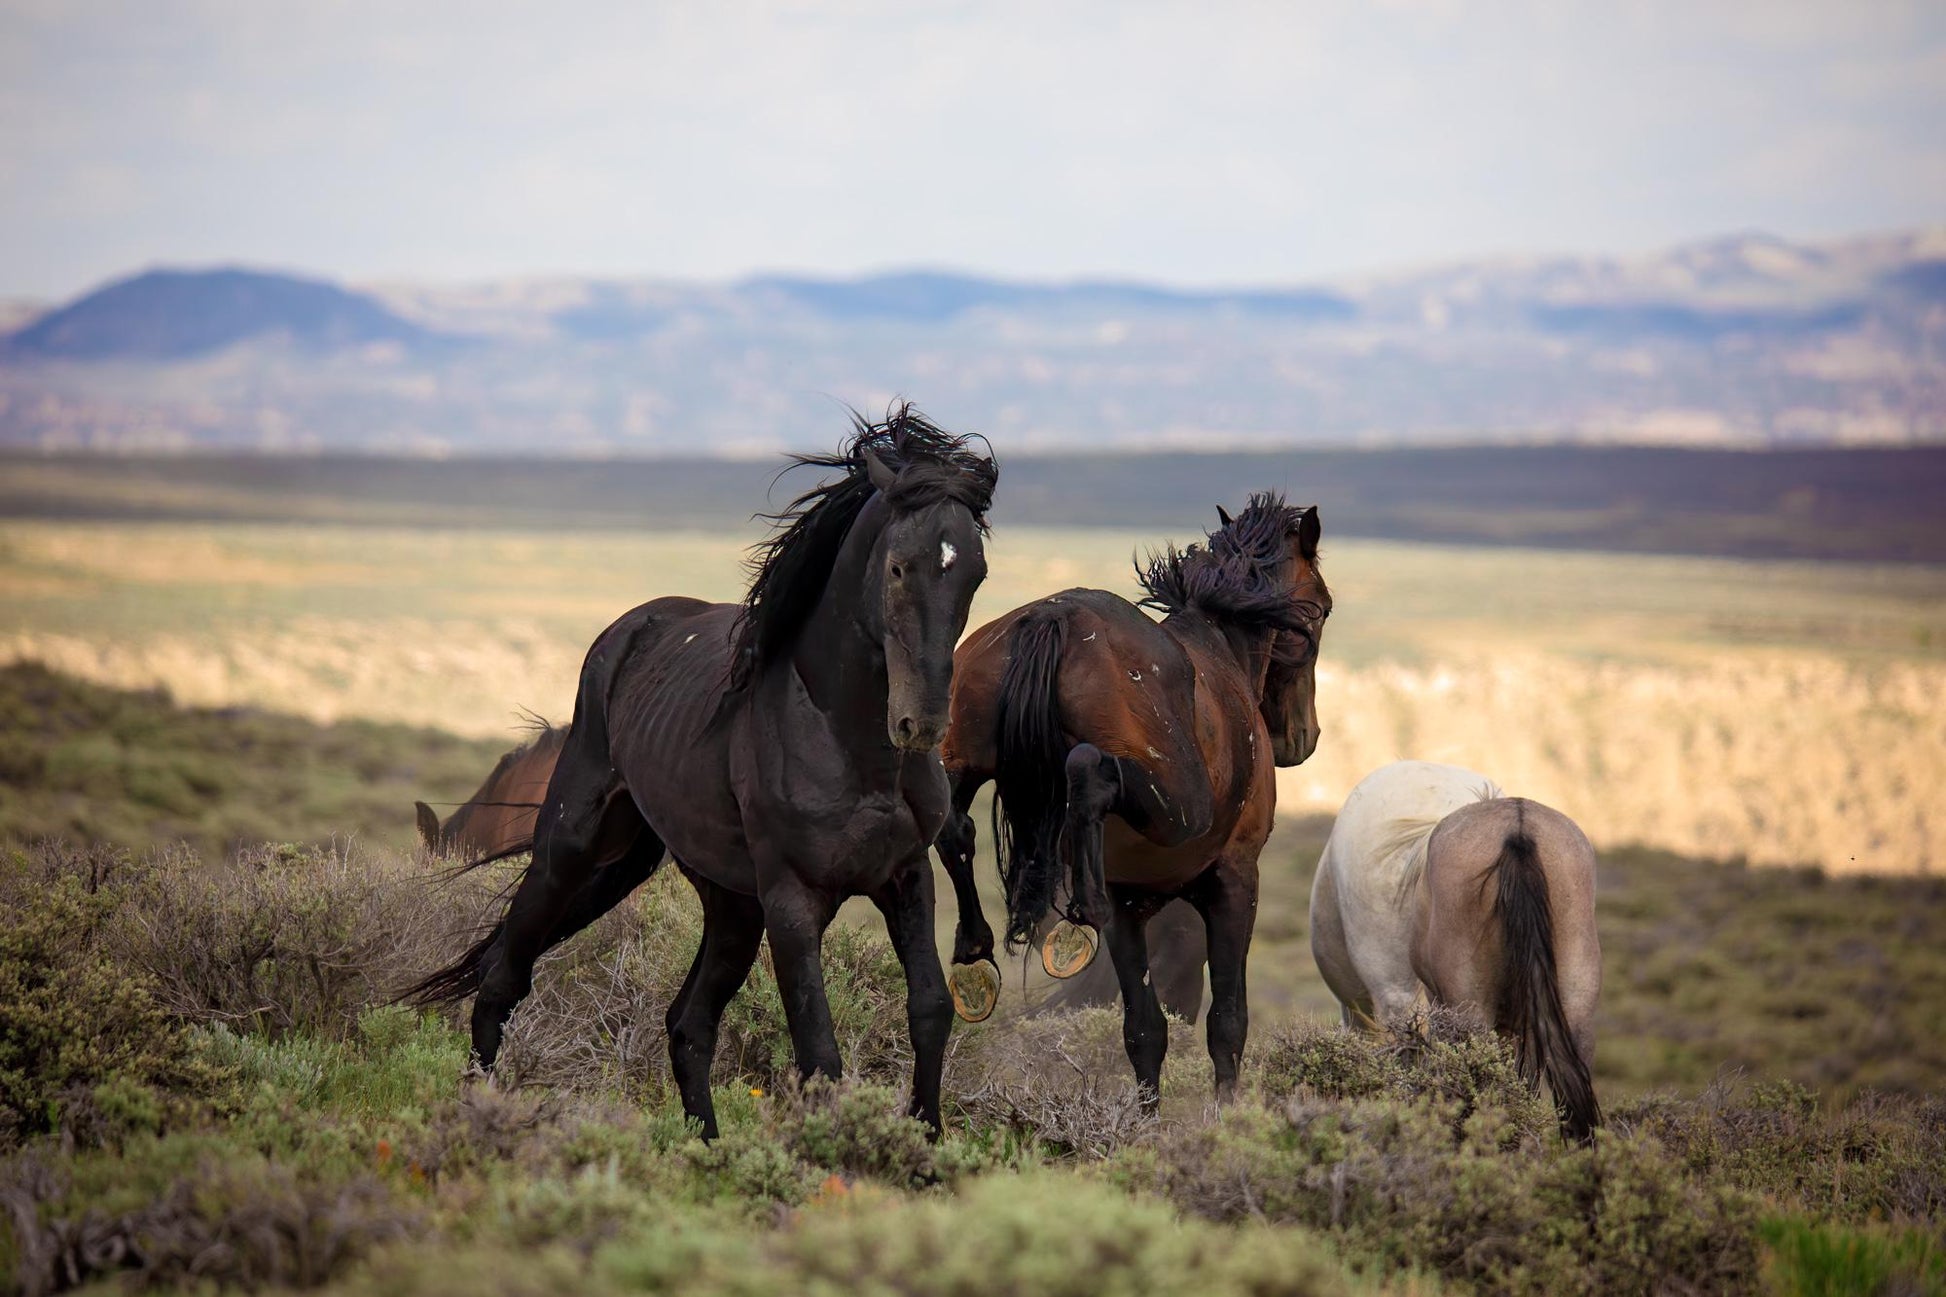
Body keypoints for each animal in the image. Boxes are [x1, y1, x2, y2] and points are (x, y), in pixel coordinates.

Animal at [934, 494, 1331, 1098]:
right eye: (1322, 609)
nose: (1300, 739)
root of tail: (1055, 616)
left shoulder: (1131, 910)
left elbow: (1144, 1032)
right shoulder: (1235, 882)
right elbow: (1227, 1023)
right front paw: (1226, 1112)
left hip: (963, 756)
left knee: (953, 823)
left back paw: (976, 947)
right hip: (1179, 809)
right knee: (1087, 771)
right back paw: (1077, 909)